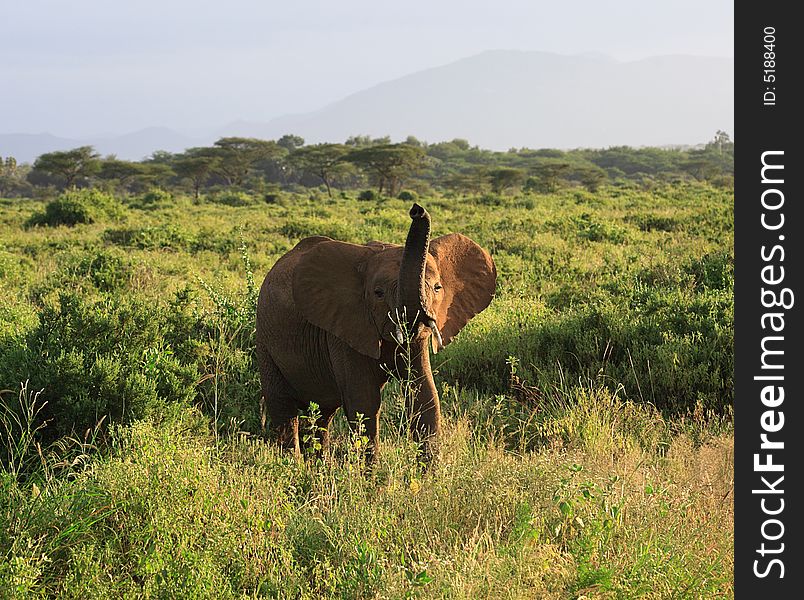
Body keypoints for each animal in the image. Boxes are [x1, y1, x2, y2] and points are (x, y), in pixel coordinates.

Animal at [258, 204, 496, 462]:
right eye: (378, 293)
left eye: (437, 288)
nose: (416, 210)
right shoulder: (343, 328)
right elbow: (364, 401)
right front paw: (370, 473)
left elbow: (424, 394)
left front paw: (430, 472)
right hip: (265, 340)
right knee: (283, 409)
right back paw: (294, 465)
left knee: (322, 413)